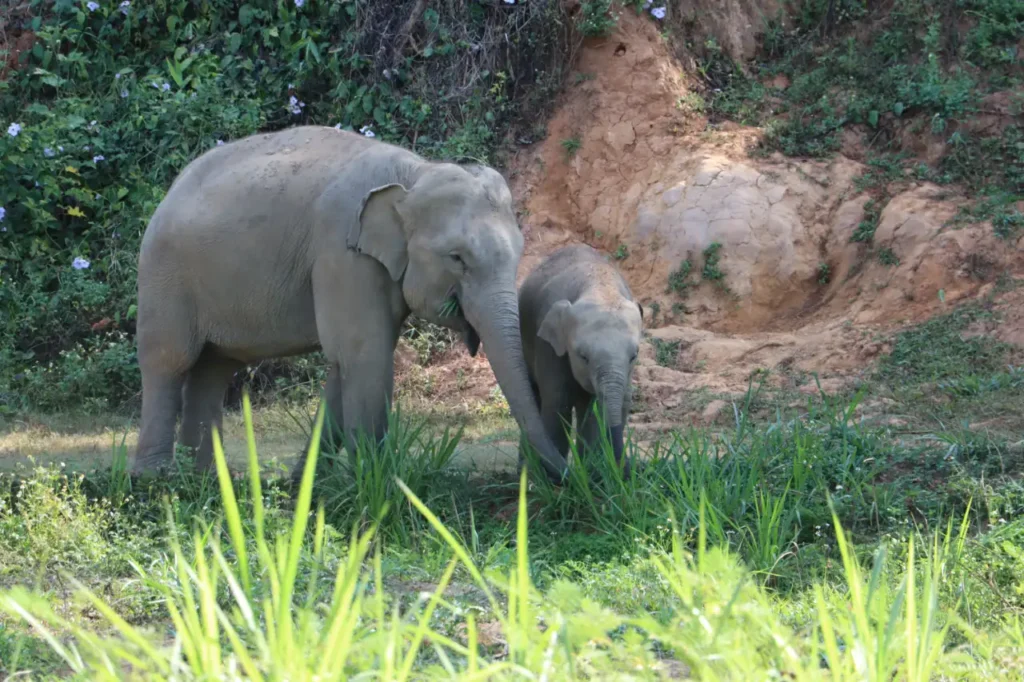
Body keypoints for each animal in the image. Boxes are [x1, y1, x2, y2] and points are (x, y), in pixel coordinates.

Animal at [132, 125, 570, 484]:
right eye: (457, 258)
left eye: (519, 252)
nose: (566, 474)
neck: (413, 175)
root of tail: (169, 191)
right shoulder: (341, 255)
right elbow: (363, 352)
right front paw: (374, 479)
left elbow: (345, 363)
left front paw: (307, 482)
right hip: (163, 276)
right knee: (169, 360)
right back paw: (155, 480)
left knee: (213, 368)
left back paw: (203, 480)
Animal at [518, 243, 643, 475]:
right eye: (583, 356)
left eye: (634, 356)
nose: (626, 469)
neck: (600, 287)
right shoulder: (548, 348)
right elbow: (558, 403)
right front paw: (560, 478)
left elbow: (601, 408)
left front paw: (595, 473)